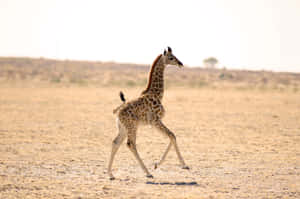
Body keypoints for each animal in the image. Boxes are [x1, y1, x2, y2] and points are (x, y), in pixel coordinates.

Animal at [107, 47, 188, 180]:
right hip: (132, 126)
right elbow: (172, 135)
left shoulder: (154, 123)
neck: (157, 94)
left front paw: (157, 164)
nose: (181, 63)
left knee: (115, 143)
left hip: (123, 127)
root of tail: (117, 112)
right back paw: (147, 172)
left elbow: (171, 136)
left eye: (175, 56)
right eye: (171, 58)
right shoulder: (155, 121)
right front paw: (183, 165)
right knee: (131, 144)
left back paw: (110, 174)